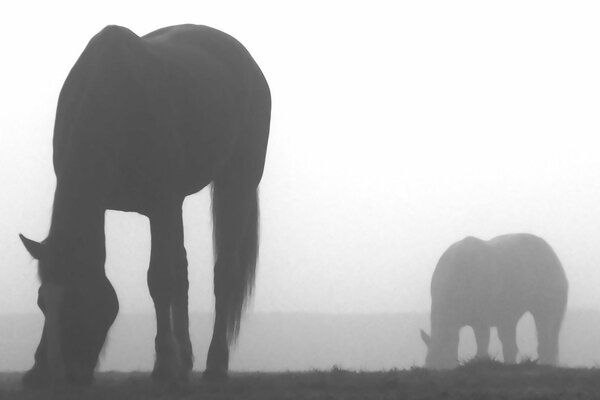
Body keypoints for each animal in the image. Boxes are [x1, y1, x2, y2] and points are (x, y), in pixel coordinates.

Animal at [19, 25, 272, 388]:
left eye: (79, 301)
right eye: (42, 302)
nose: (57, 376)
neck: (113, 98)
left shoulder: (162, 203)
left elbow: (160, 279)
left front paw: (165, 364)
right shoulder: (154, 206)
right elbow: (173, 275)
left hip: (236, 182)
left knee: (224, 272)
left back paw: (214, 365)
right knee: (183, 269)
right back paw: (186, 360)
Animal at [420, 234, 568, 368]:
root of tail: (553, 254)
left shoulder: (481, 321)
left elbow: (482, 344)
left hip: (551, 283)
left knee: (547, 331)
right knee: (510, 334)